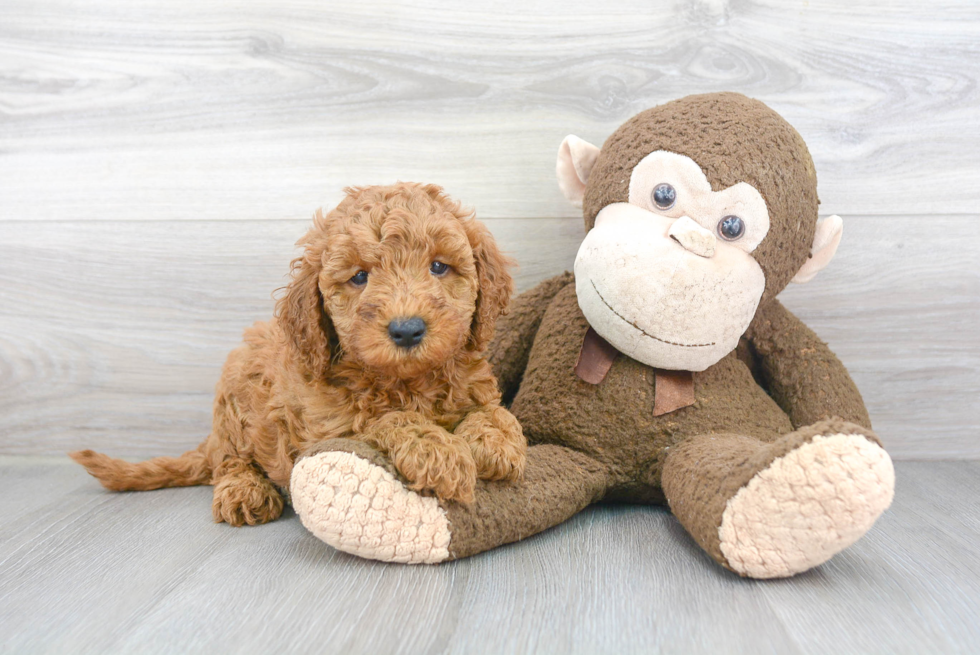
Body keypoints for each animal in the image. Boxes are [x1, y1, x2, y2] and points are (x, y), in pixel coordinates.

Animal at [72, 181, 524, 528]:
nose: (407, 329)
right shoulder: (328, 427)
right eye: (359, 277)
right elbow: (389, 420)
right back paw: (244, 492)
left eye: (439, 267)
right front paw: (439, 452)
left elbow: (491, 410)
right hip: (234, 397)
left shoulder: (473, 385)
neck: (407, 380)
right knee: (230, 462)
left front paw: (496, 441)